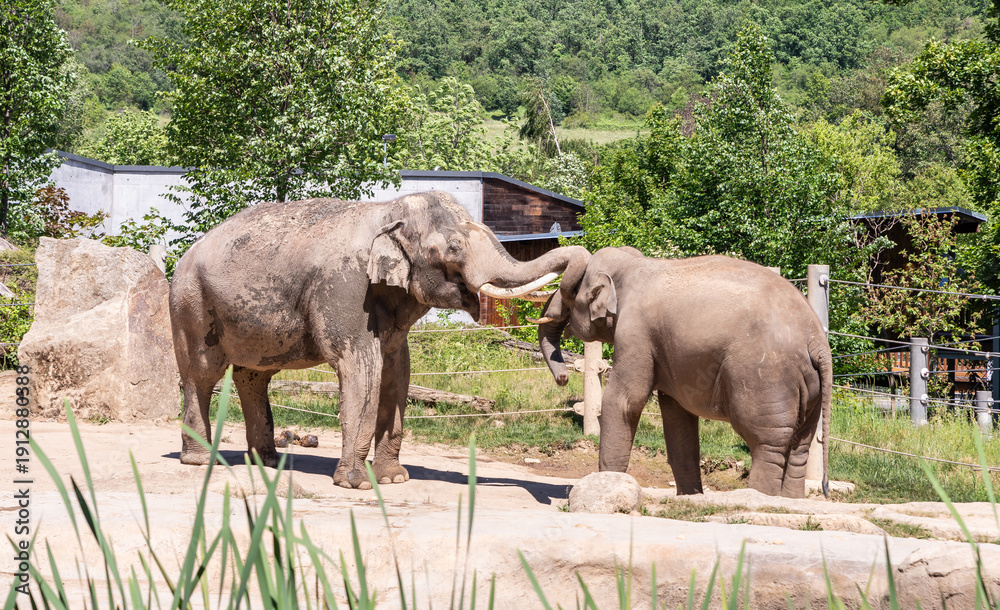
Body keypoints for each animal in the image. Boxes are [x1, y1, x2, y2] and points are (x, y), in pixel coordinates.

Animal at [169, 191, 589, 489]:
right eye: (453, 248)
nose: (563, 378)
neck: (388, 211)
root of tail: (184, 256)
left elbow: (397, 371)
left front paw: (393, 479)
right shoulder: (345, 287)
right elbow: (361, 366)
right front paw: (356, 484)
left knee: (253, 376)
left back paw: (267, 463)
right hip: (191, 304)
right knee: (201, 375)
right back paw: (200, 460)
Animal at [535, 246, 832, 498]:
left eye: (570, 292)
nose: (563, 378)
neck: (633, 264)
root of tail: (817, 340)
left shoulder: (635, 332)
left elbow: (625, 401)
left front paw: (607, 483)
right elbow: (677, 417)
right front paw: (690, 497)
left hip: (765, 376)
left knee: (767, 443)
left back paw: (759, 497)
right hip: (810, 388)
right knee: (800, 446)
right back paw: (790, 500)